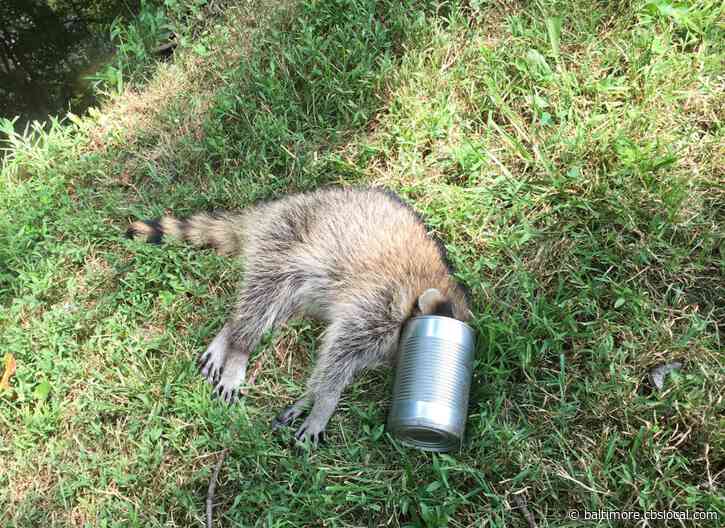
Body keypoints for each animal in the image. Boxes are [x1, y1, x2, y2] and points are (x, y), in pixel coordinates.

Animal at [126, 187, 471, 444]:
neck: (428, 288)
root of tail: (274, 207)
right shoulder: (378, 305)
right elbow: (337, 355)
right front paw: (324, 403)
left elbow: (336, 363)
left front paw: (307, 397)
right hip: (282, 243)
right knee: (260, 298)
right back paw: (239, 348)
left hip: (306, 284)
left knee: (271, 308)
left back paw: (231, 330)